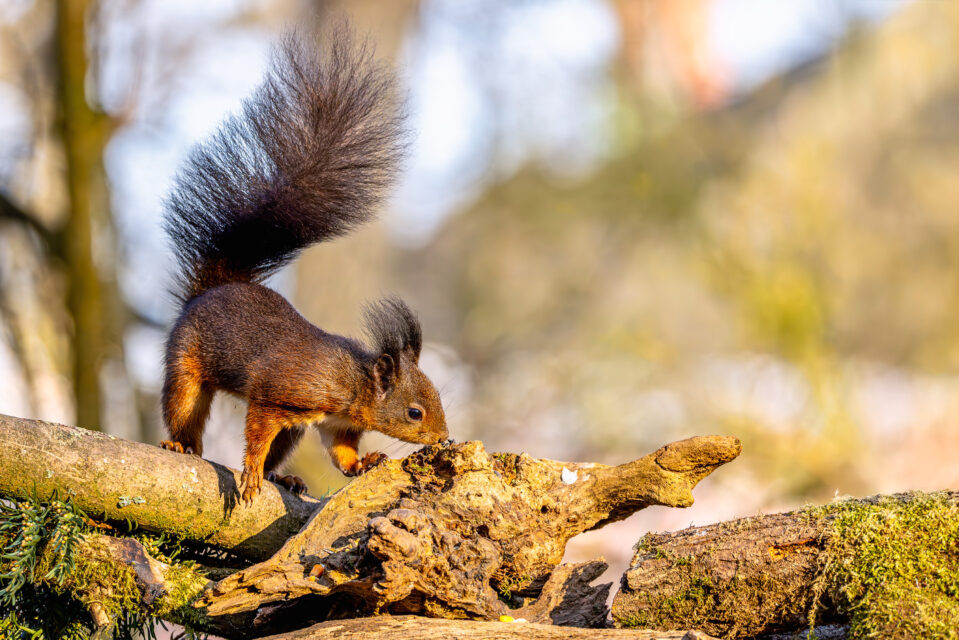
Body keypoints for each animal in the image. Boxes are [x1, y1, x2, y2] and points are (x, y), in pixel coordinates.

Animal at [158, 27, 448, 503]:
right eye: (414, 412)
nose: (444, 438)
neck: (351, 384)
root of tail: (215, 286)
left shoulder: (335, 423)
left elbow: (341, 452)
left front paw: (363, 463)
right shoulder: (277, 395)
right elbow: (257, 433)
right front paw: (250, 471)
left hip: (292, 430)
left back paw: (284, 477)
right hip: (188, 363)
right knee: (183, 408)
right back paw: (182, 444)